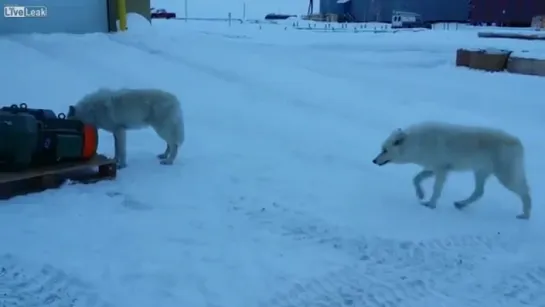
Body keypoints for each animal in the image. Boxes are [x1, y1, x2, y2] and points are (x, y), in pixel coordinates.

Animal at [372, 121, 528, 220]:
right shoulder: (433, 168)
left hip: (505, 177)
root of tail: (519, 142)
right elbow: (416, 179)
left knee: (525, 192)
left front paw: (430, 205)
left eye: (384, 150)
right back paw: (460, 204)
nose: (374, 160)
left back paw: (525, 215)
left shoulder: (441, 170)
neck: (417, 142)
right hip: (480, 173)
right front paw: (421, 195)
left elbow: (436, 190)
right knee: (479, 192)